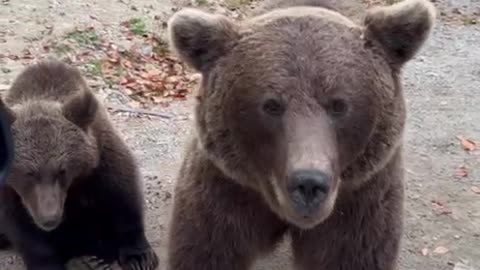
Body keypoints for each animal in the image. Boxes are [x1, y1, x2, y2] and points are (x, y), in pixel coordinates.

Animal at [0, 60, 159, 270]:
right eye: (28, 173)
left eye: (62, 170)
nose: (49, 217)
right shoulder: (11, 191)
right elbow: (23, 229)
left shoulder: (102, 159)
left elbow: (124, 197)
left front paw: (139, 257)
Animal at [165, 0, 436, 268]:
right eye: (271, 105)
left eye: (339, 105)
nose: (309, 183)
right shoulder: (228, 188)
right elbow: (208, 248)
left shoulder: (361, 198)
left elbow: (351, 254)